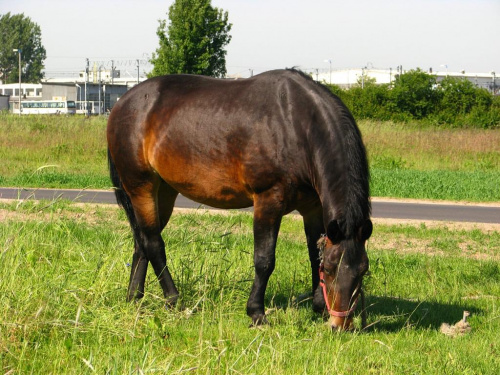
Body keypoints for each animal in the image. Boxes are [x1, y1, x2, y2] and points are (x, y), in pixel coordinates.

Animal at [106, 69, 372, 330]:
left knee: (142, 241)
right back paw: (173, 299)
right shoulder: (268, 202)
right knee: (153, 244)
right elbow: (264, 260)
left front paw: (318, 305)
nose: (341, 324)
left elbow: (312, 253)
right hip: (141, 187)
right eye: (330, 269)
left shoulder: (313, 207)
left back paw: (134, 297)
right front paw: (257, 313)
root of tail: (122, 103)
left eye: (363, 271)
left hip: (164, 191)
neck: (297, 125)